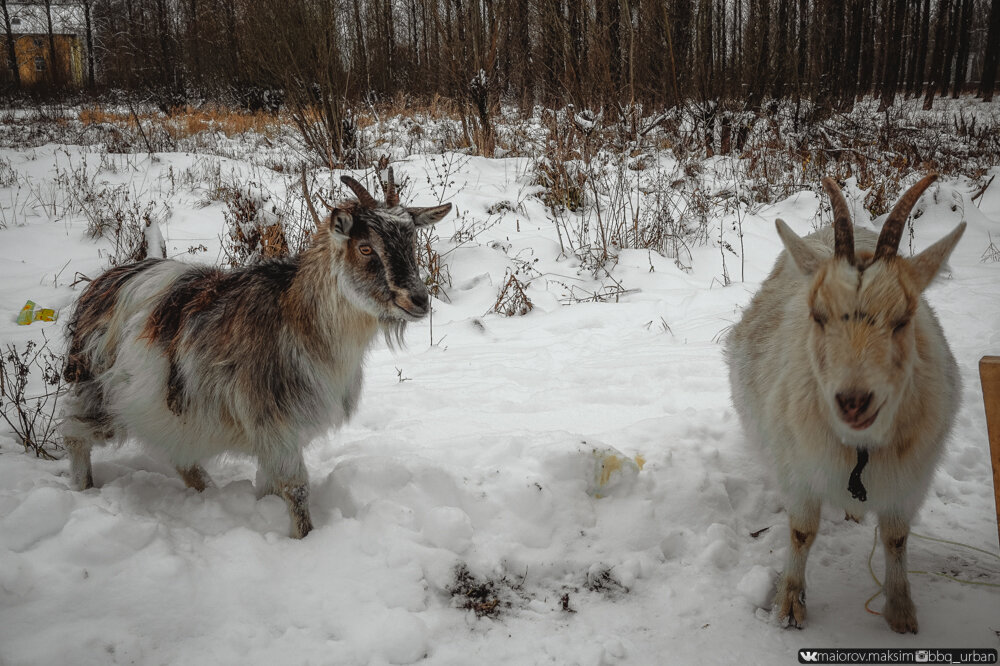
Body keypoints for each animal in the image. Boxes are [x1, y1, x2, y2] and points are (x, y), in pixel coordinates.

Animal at [63, 170, 454, 536]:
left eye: (412, 242)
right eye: (365, 248)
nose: (419, 300)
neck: (302, 322)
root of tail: (101, 285)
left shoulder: (277, 434)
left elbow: (269, 487)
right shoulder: (275, 424)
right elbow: (296, 489)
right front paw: (305, 540)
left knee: (179, 455)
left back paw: (207, 490)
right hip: (100, 392)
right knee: (74, 432)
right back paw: (84, 489)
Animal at [732, 174, 964, 632]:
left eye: (903, 319)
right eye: (818, 314)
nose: (853, 400)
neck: (860, 449)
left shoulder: (909, 480)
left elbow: (895, 538)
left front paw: (901, 612)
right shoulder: (798, 469)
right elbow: (802, 531)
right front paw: (789, 607)